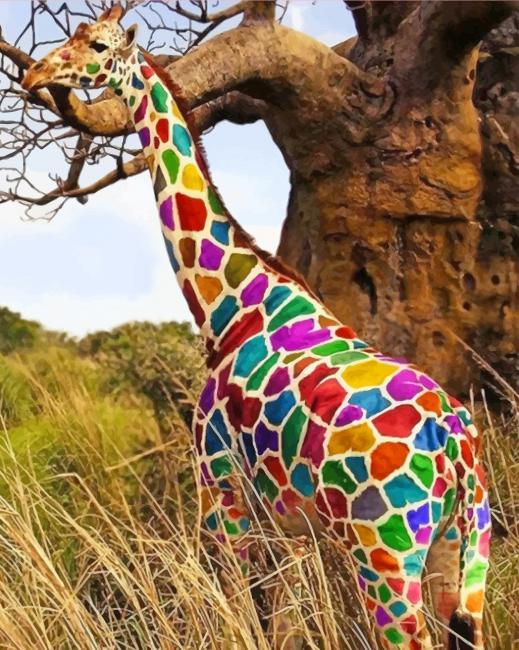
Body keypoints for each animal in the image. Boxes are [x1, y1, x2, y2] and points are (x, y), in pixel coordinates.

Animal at [23, 6, 491, 649]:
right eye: (71, 34)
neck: (229, 306)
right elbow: (286, 622)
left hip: (386, 552)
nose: (34, 73)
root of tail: (456, 447)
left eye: (96, 44)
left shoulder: (221, 493)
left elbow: (249, 614)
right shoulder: (289, 524)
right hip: (464, 552)